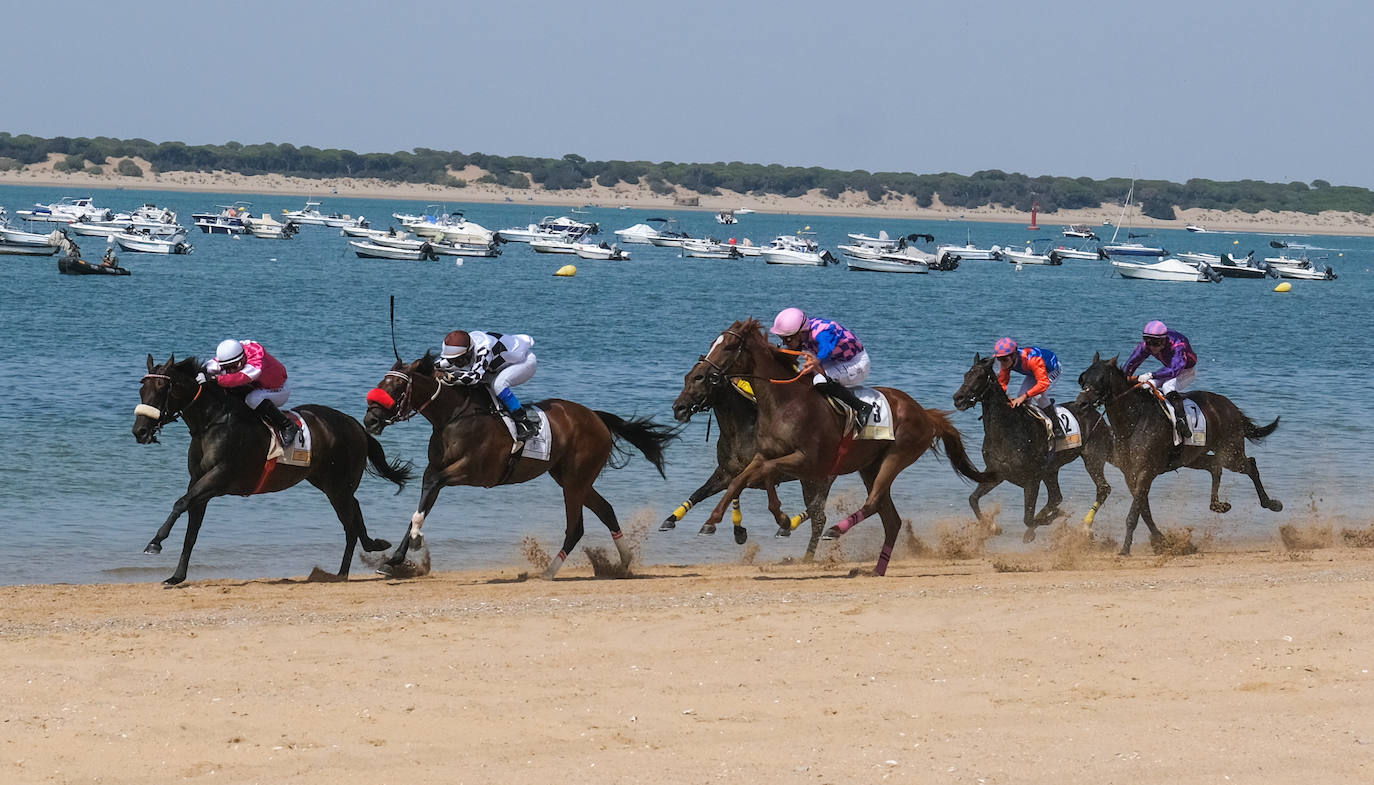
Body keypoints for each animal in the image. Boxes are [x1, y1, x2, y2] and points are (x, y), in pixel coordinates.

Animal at [132, 355, 413, 585]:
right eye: (141, 388)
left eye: (161, 388)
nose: (140, 431)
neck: (213, 423)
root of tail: (356, 425)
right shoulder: (199, 483)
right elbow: (191, 531)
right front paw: (176, 576)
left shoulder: (219, 477)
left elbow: (180, 503)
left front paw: (155, 543)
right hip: (329, 483)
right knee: (354, 510)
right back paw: (366, 550)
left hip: (337, 486)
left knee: (350, 522)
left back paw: (346, 569)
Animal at [362, 353, 679, 579]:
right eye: (382, 382)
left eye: (398, 386)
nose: (370, 420)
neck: (455, 417)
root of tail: (596, 417)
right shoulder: (437, 469)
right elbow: (422, 502)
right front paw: (394, 560)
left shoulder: (475, 471)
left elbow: (430, 488)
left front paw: (415, 540)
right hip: (571, 478)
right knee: (606, 510)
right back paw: (623, 562)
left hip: (575, 480)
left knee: (575, 528)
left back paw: (549, 572)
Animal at [667, 359, 834, 559]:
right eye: (687, 377)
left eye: (700, 378)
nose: (678, 408)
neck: (742, 430)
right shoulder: (726, 471)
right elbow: (701, 492)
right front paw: (671, 519)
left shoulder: (755, 473)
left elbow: (735, 489)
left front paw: (735, 530)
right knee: (815, 510)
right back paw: (786, 528)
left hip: (819, 478)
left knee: (818, 513)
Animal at [952, 353, 1114, 542]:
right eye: (966, 375)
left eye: (979, 377)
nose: (958, 398)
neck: (1007, 429)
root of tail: (1097, 414)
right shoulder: (997, 472)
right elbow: (972, 499)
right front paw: (992, 526)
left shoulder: (1032, 479)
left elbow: (1028, 519)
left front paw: (1055, 517)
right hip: (1051, 470)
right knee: (1055, 497)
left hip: (1093, 458)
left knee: (1103, 489)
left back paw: (1084, 527)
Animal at [1076, 353, 1283, 555]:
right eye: (1083, 378)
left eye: (1101, 379)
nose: (1081, 404)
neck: (1134, 421)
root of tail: (1230, 406)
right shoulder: (1130, 474)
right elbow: (1144, 511)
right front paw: (1161, 541)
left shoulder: (1145, 472)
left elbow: (1134, 514)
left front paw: (1125, 549)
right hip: (1194, 457)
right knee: (1215, 465)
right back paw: (1218, 505)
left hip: (1231, 452)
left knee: (1250, 464)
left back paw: (1271, 504)